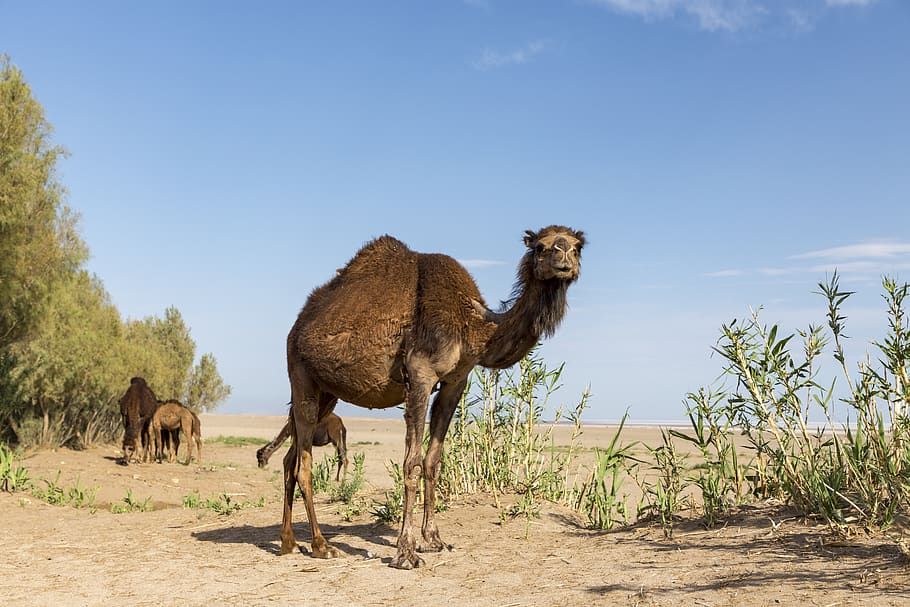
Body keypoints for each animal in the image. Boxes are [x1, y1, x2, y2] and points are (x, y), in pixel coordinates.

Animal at [279, 225, 584, 569]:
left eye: (578, 247)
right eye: (541, 247)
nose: (564, 258)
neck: (472, 326)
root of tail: (298, 325)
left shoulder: (455, 382)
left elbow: (433, 461)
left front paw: (434, 540)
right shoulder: (419, 375)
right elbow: (411, 463)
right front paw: (406, 553)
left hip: (327, 393)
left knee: (290, 458)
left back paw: (288, 542)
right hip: (300, 374)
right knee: (303, 464)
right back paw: (321, 545)